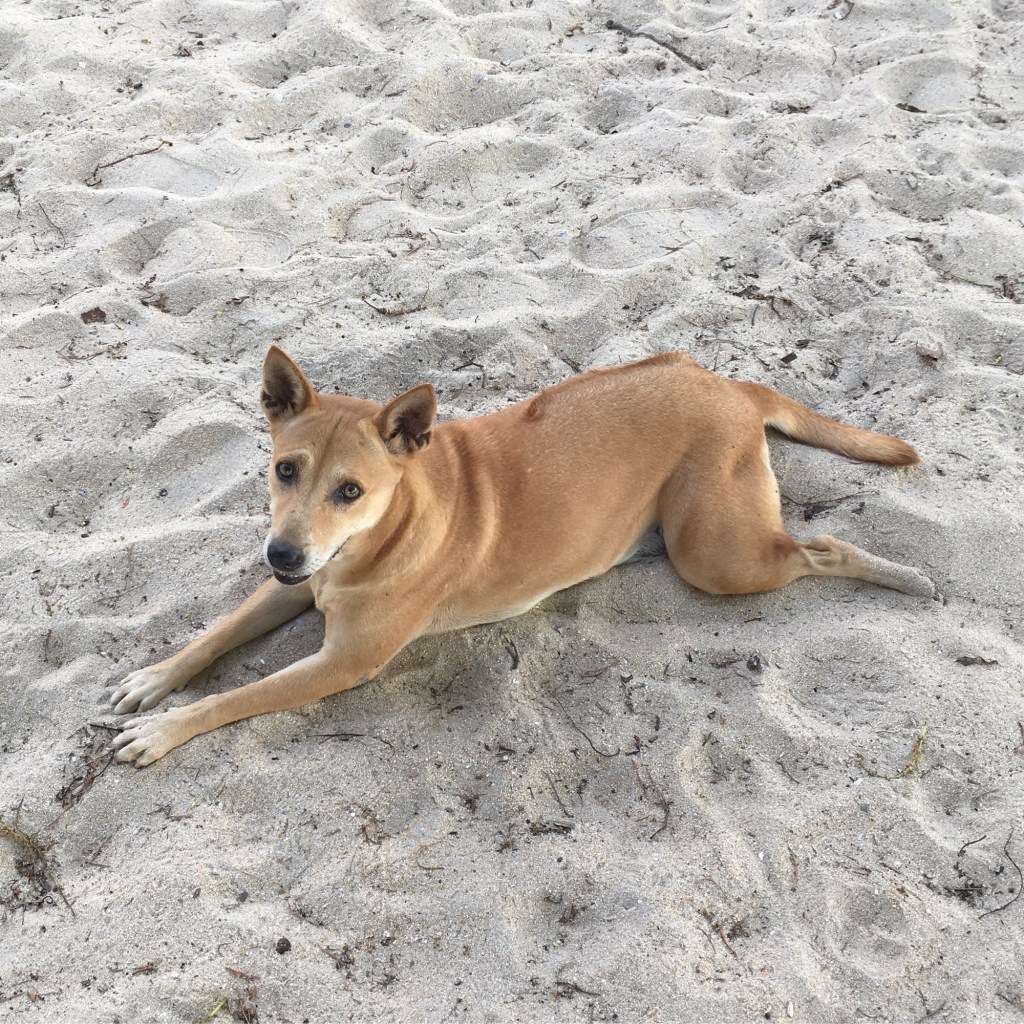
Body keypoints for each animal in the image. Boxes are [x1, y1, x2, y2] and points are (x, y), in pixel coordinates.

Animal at [111, 347, 935, 765]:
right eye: (285, 470)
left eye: (350, 490)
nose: (282, 551)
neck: (389, 524)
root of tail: (727, 383)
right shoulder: (299, 581)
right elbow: (214, 635)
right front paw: (155, 679)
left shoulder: (344, 661)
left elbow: (238, 696)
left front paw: (167, 729)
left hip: (716, 556)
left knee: (823, 546)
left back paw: (904, 575)